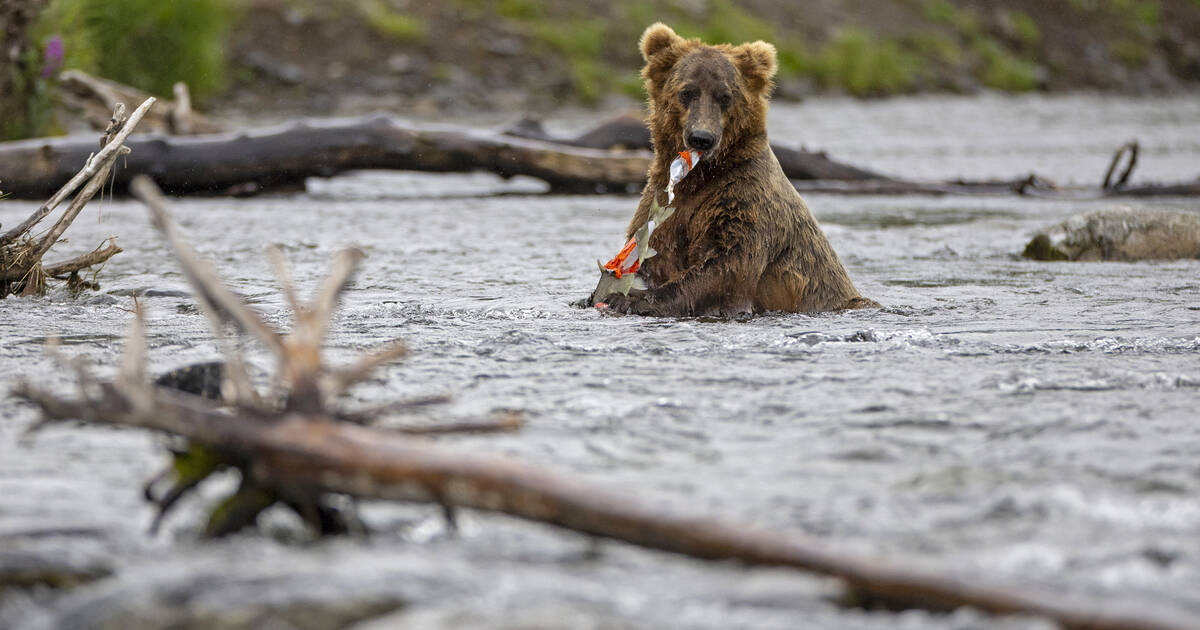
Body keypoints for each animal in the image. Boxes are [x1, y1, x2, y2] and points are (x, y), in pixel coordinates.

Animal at [597, 24, 873, 316]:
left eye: (725, 96)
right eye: (687, 92)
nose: (701, 138)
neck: (700, 176)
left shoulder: (744, 199)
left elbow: (726, 264)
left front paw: (628, 298)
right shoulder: (661, 202)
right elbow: (658, 250)